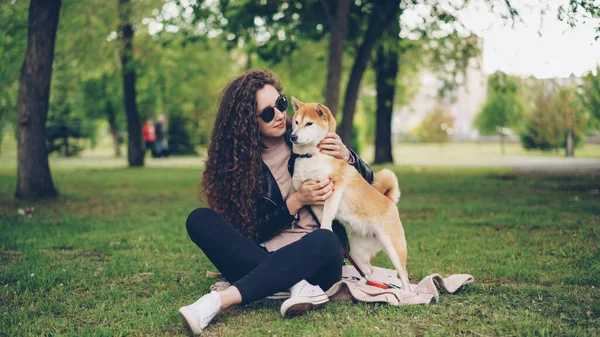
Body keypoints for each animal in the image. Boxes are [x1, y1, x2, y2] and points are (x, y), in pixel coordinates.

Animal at [290, 96, 412, 290]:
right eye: (295, 122)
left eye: (309, 123)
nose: (292, 136)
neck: (312, 157)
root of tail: (389, 200)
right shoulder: (313, 199)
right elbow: (321, 216)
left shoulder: (334, 189)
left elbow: (328, 215)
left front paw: (325, 230)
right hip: (358, 249)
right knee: (368, 271)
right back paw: (358, 286)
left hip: (393, 247)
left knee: (404, 275)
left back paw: (407, 295)